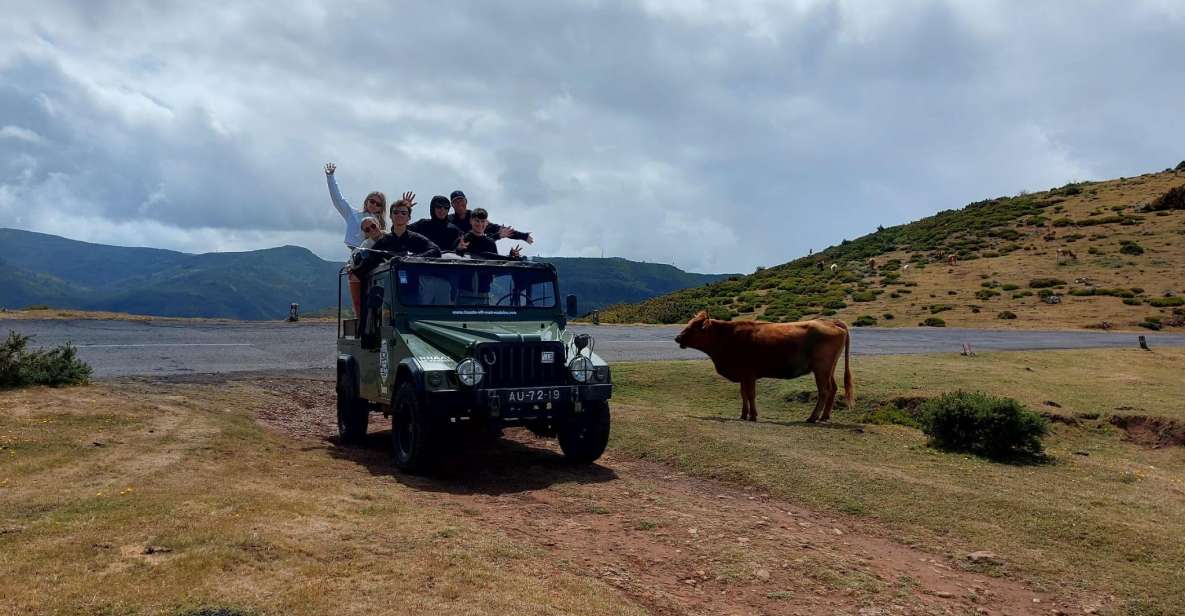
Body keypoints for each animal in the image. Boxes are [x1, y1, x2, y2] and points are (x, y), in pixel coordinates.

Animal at [677, 312, 853, 424]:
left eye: (694, 327)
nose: (677, 337)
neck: (727, 337)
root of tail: (830, 321)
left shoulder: (749, 374)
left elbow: (751, 395)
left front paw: (753, 415)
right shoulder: (743, 375)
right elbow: (743, 394)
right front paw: (743, 415)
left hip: (821, 368)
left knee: (824, 391)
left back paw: (812, 418)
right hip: (829, 369)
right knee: (833, 388)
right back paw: (824, 416)